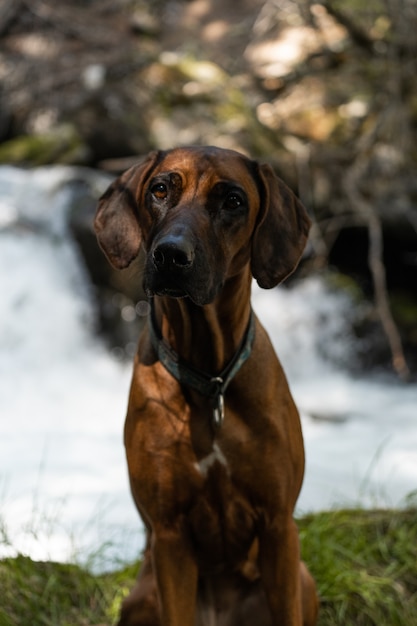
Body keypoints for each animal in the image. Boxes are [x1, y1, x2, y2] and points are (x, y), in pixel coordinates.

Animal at [94, 146, 316, 624]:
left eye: (232, 201)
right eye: (160, 189)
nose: (170, 255)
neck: (210, 377)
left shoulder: (278, 525)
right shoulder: (170, 535)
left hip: (304, 581)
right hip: (142, 598)